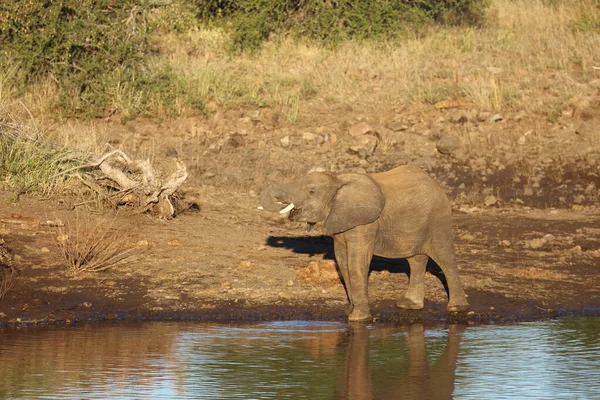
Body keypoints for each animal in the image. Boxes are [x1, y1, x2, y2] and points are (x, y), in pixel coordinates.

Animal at [260, 166, 472, 322]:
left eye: (312, 191)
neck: (338, 181)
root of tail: (438, 186)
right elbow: (342, 262)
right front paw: (349, 312)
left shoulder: (365, 223)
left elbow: (356, 263)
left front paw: (358, 319)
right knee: (416, 260)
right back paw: (408, 305)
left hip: (438, 220)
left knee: (445, 258)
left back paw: (456, 308)